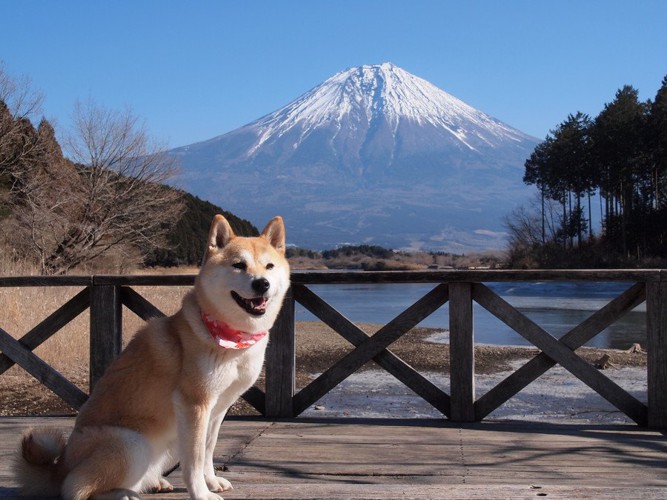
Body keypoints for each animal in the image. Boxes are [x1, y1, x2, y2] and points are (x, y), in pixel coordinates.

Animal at [13, 215, 290, 500]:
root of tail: (60, 468)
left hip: (166, 442)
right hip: (131, 442)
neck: (232, 339)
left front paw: (211, 481)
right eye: (238, 265)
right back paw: (120, 493)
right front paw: (201, 493)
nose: (262, 283)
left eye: (269, 266)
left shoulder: (218, 408)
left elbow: (208, 451)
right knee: (76, 488)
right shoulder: (194, 405)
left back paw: (155, 482)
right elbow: (194, 459)